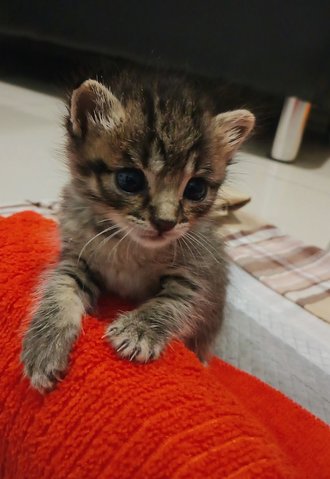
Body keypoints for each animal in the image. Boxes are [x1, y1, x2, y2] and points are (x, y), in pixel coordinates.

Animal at [20, 72, 254, 394]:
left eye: (196, 189)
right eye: (129, 180)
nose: (165, 222)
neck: (128, 243)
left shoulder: (202, 276)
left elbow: (176, 301)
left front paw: (139, 329)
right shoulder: (76, 256)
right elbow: (60, 287)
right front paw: (45, 343)